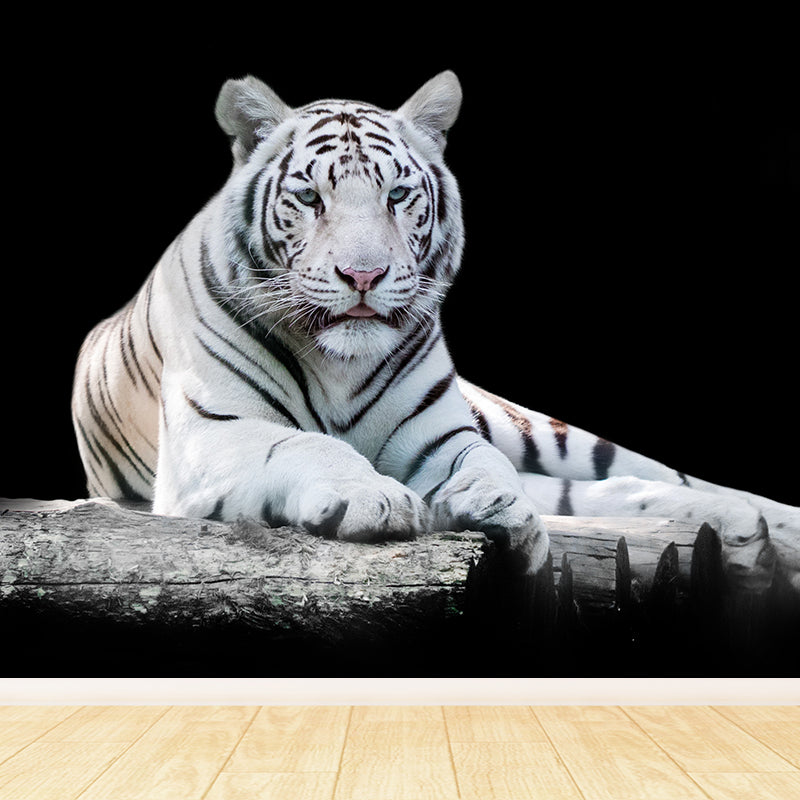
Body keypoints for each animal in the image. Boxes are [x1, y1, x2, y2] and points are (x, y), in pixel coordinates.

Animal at [71, 71, 798, 591]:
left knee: (635, 472)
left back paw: (761, 523)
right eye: (309, 198)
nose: (363, 275)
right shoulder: (209, 436)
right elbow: (307, 445)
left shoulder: (440, 436)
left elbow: (481, 462)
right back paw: (742, 531)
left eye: (396, 195)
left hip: (526, 424)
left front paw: (498, 507)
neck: (339, 365)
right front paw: (375, 497)